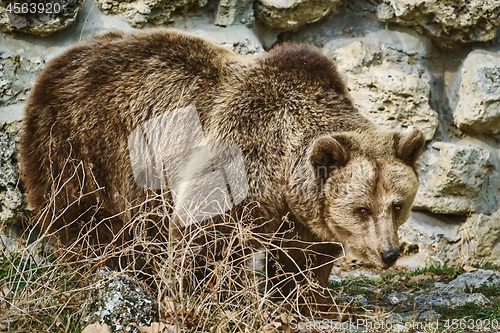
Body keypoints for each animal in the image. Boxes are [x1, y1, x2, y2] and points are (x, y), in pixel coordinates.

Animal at [20, 29, 426, 316]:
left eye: (397, 205)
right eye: (362, 208)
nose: (389, 252)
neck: (284, 166)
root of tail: (61, 59)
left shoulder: (303, 209)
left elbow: (305, 256)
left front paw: (314, 301)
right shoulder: (243, 153)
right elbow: (208, 231)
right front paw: (217, 298)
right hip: (86, 142)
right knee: (87, 220)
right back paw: (110, 272)